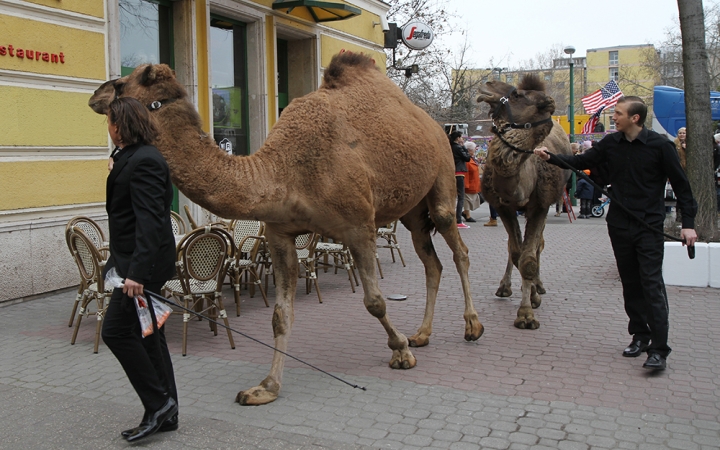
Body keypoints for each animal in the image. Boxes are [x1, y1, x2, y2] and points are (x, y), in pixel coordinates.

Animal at [88, 51, 484, 404]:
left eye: (121, 84)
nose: (95, 95)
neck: (286, 170)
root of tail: (432, 123)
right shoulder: (279, 234)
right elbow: (280, 315)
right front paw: (265, 388)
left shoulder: (359, 226)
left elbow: (374, 301)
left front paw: (400, 351)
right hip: (413, 212)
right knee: (431, 261)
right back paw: (422, 334)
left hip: (442, 177)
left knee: (459, 248)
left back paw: (472, 327)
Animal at [476, 75, 572, 330]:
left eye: (517, 94)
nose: (487, 84)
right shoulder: (503, 207)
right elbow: (517, 254)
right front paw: (527, 299)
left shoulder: (540, 206)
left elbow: (529, 259)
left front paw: (527, 312)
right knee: (513, 248)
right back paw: (506, 287)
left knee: (538, 246)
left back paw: (538, 286)